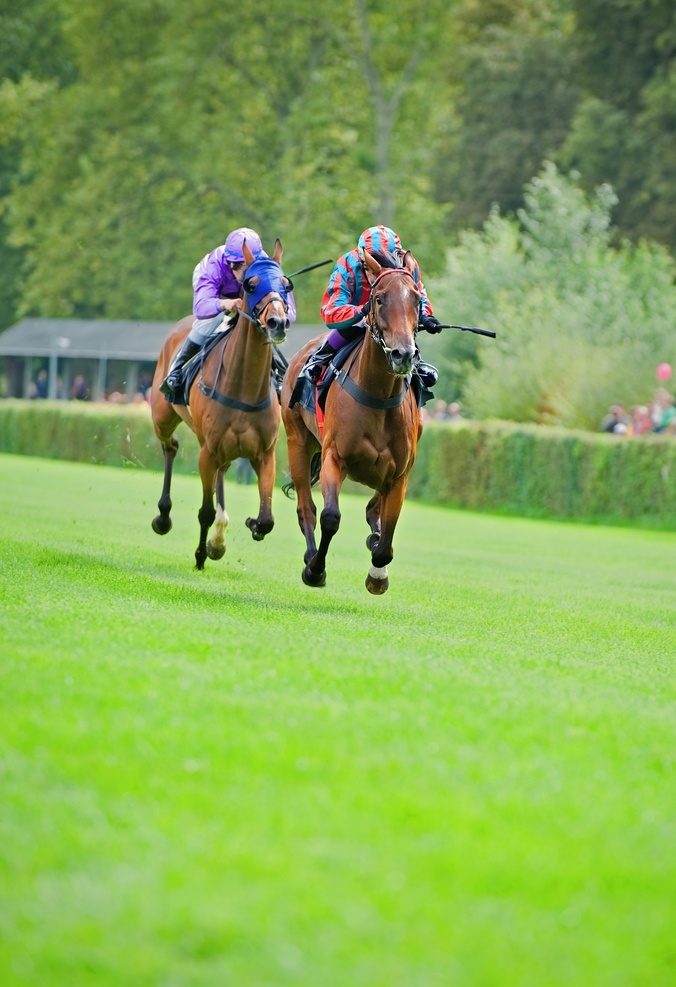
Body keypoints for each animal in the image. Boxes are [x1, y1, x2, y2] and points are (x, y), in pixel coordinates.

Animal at [151, 238, 290, 572]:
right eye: (251, 285)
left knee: (221, 472)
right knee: (170, 447)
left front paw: (249, 525)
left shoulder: (265, 454)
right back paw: (164, 517)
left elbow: (267, 519)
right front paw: (200, 555)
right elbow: (204, 511)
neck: (244, 387)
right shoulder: (209, 452)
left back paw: (218, 539)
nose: (278, 322)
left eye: (285, 284)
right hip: (163, 417)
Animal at [282, 251, 422, 600]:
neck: (378, 396)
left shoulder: (399, 475)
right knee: (306, 508)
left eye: (416, 299)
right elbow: (331, 517)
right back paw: (310, 555)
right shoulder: (334, 458)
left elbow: (387, 538)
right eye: (379, 298)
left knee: (374, 511)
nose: (403, 355)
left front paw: (378, 575)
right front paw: (315, 570)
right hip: (297, 441)